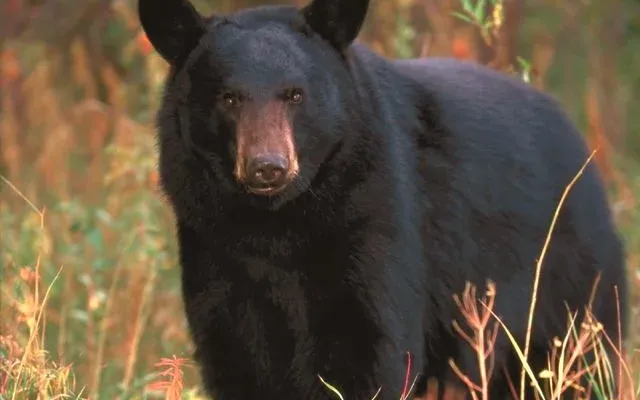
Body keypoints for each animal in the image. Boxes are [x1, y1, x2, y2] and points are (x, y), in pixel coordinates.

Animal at [137, 0, 629, 399]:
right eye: (229, 98)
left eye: (295, 94)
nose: (267, 167)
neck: (278, 225)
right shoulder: (213, 244)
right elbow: (236, 355)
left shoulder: (373, 215)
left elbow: (369, 349)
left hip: (568, 283)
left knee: (578, 364)